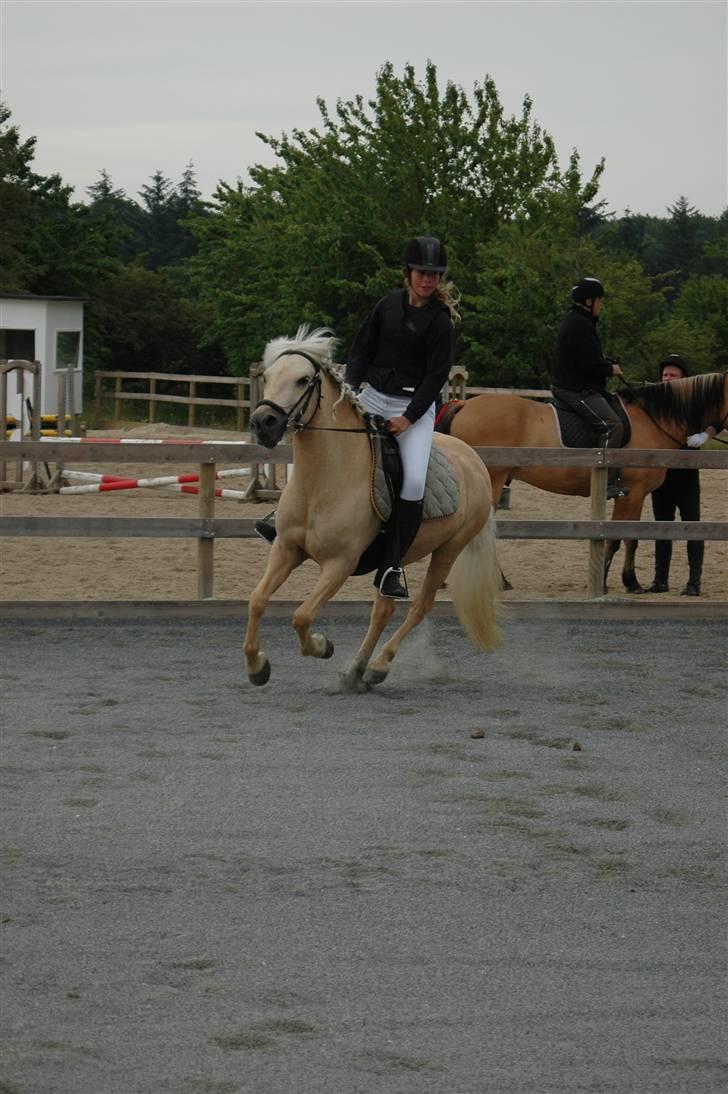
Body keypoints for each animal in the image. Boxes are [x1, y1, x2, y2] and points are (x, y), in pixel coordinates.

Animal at [240, 321, 503, 691]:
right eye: (268, 375)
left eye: (303, 380)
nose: (263, 423)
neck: (321, 482)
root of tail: (474, 460)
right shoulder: (286, 549)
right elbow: (257, 600)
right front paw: (257, 666)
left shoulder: (340, 563)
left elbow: (302, 616)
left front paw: (321, 646)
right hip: (396, 558)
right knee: (383, 610)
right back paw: (357, 669)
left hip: (448, 550)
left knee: (419, 607)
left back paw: (378, 665)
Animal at [437, 374, 726, 599]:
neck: (652, 422)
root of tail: (464, 403)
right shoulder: (631, 493)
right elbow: (618, 537)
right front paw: (609, 582)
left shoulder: (638, 494)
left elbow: (631, 537)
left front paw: (630, 582)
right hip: (492, 482)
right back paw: (498, 581)